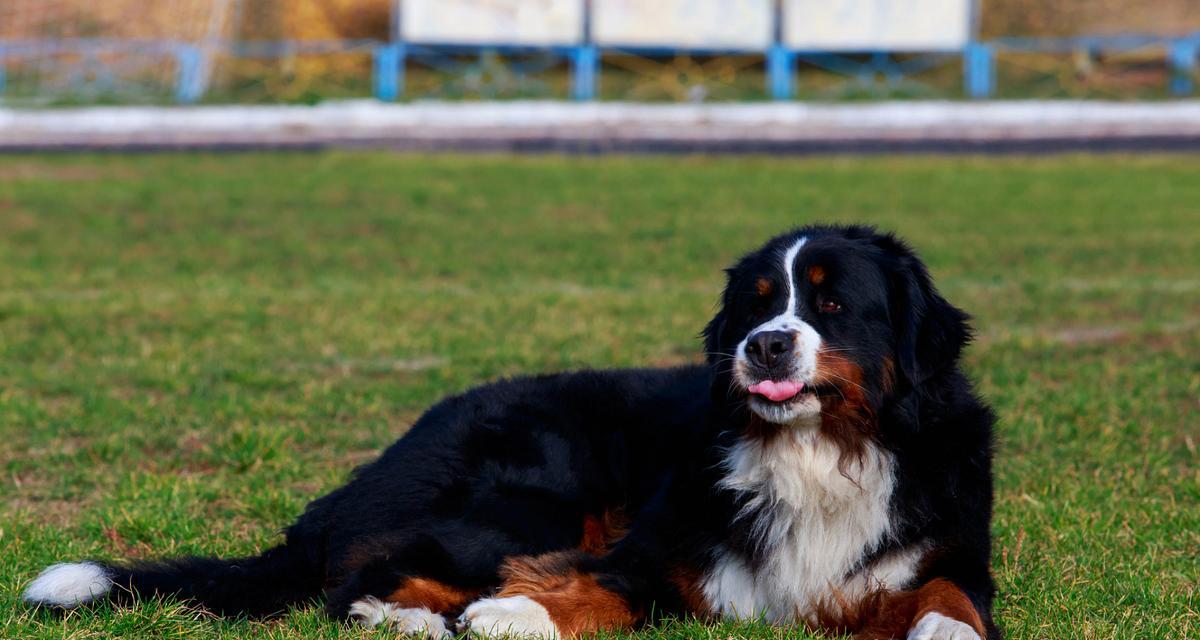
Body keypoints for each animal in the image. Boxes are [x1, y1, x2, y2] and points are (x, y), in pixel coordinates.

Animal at [23, 224, 998, 638]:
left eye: (830, 305)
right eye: (758, 305)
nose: (762, 345)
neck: (818, 450)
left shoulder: (940, 552)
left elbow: (952, 597)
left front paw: (943, 632)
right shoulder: (658, 553)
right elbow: (604, 589)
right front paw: (515, 615)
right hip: (533, 500)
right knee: (364, 578)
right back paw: (411, 618)